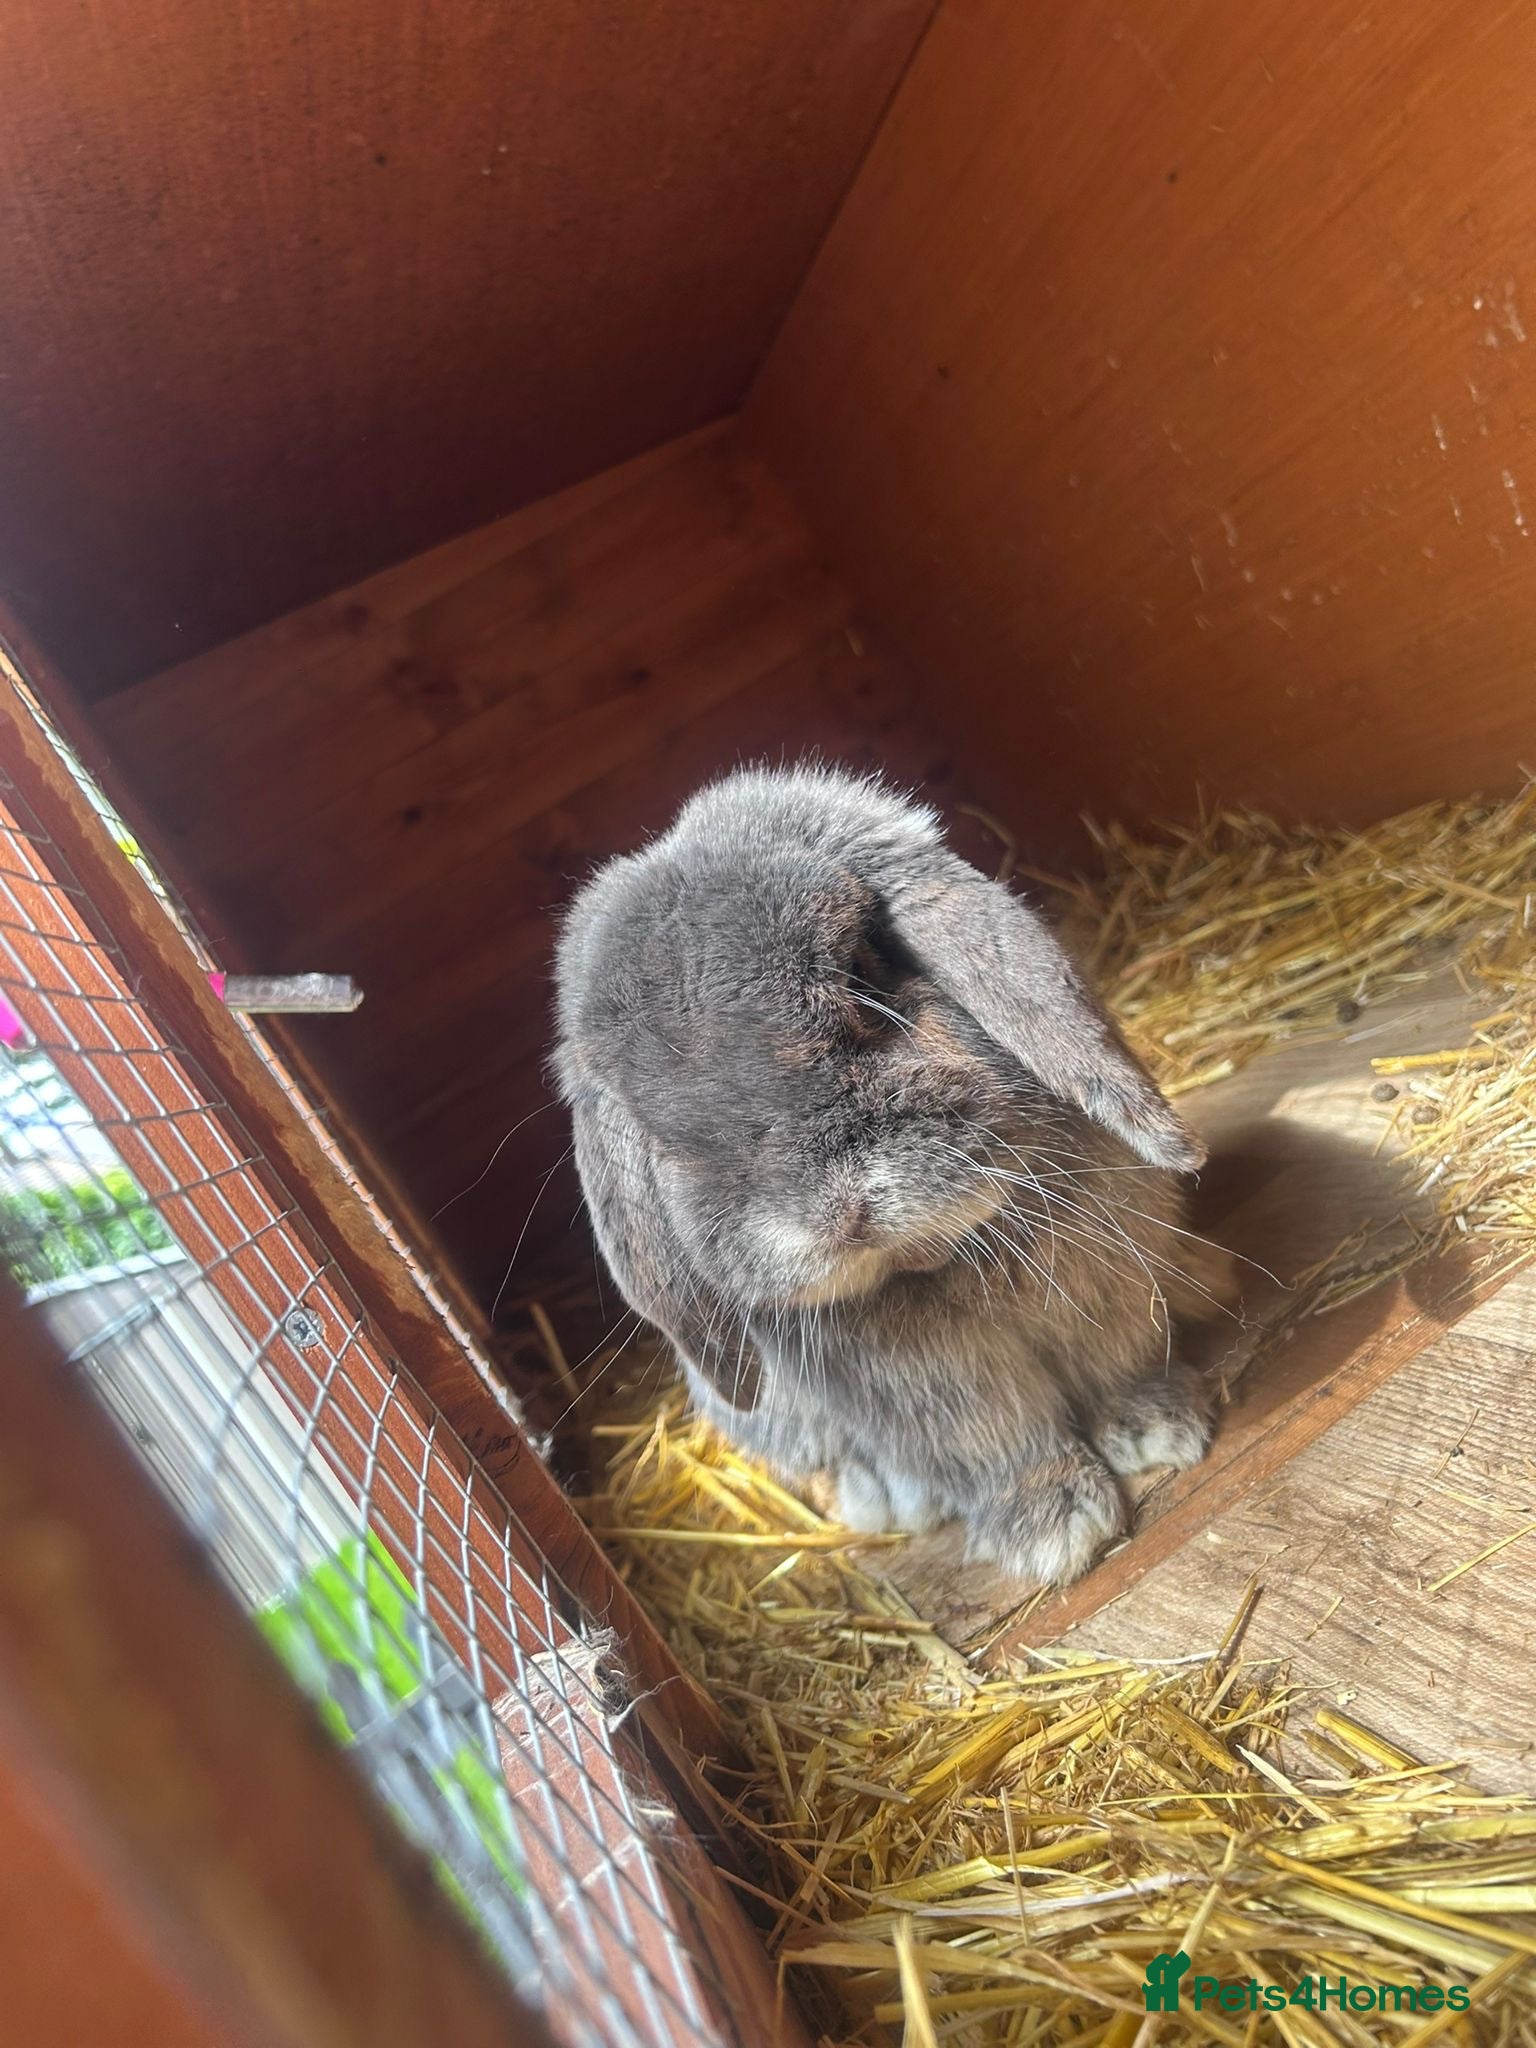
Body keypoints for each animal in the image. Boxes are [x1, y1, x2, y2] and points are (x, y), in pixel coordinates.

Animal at [553, 764, 1234, 1586]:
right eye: (658, 1131)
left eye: (863, 975)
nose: (836, 1215)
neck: (946, 1259)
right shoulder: (922, 1390)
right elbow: (995, 1440)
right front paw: (1053, 1525)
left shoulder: (1107, 1281)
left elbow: (1116, 1360)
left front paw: (1157, 1425)